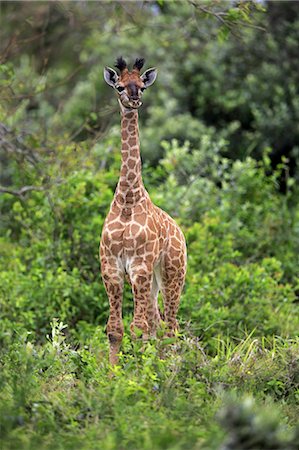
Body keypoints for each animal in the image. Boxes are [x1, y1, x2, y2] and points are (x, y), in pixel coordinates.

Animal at [102, 57, 186, 366]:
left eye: (142, 85)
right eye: (120, 86)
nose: (134, 99)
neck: (128, 199)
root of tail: (180, 233)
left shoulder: (139, 265)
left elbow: (137, 328)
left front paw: (135, 375)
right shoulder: (112, 266)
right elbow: (115, 329)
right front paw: (111, 374)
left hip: (172, 273)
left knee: (170, 326)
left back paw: (169, 370)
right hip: (153, 281)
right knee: (158, 323)